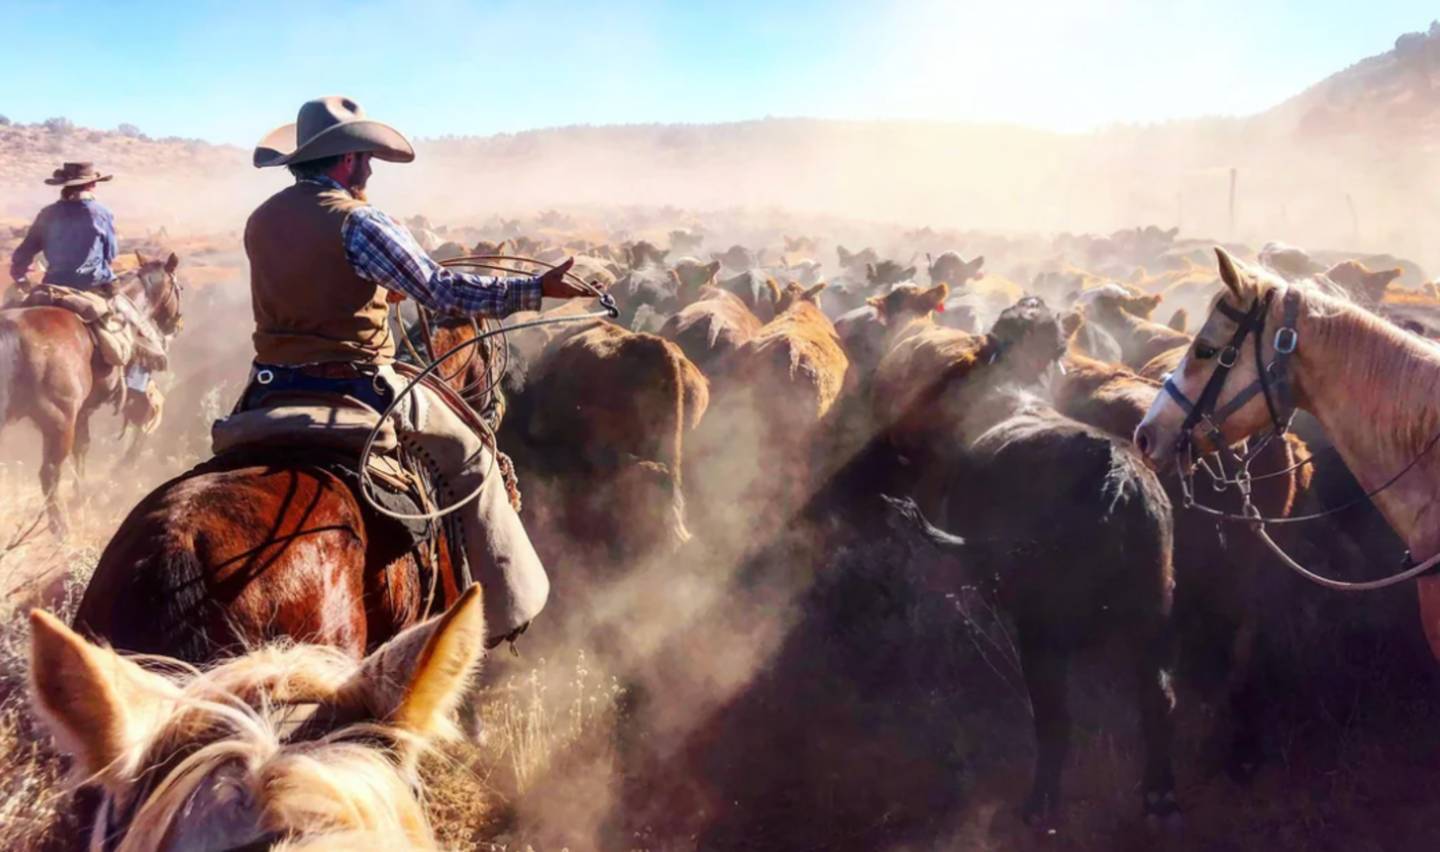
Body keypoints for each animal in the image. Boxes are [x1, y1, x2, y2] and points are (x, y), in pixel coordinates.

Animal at [0, 248, 182, 535]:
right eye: (179, 287)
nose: (175, 323)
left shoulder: (83, 411)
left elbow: (82, 448)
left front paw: (82, 491)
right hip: (59, 422)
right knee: (49, 472)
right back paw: (60, 528)